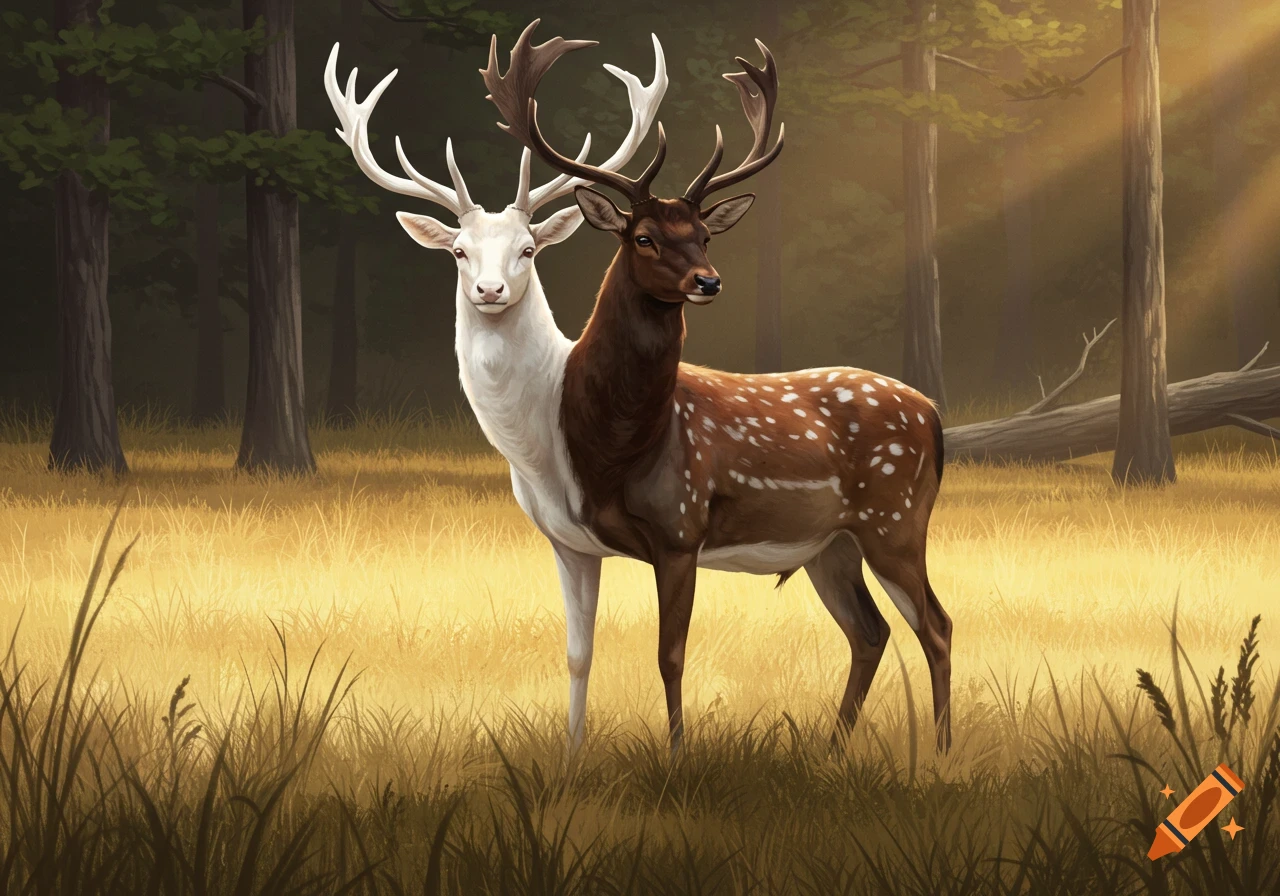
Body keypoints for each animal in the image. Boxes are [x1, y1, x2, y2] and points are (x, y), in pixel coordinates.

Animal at [323, 32, 668, 750]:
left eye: (529, 248)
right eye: (458, 250)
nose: (489, 290)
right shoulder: (567, 539)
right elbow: (578, 651)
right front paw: (572, 752)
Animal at [483, 25, 954, 752]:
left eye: (704, 234)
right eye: (644, 237)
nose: (708, 281)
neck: (618, 448)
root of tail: (933, 415)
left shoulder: (681, 525)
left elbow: (670, 654)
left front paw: (678, 757)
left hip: (896, 516)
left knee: (936, 625)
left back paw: (940, 752)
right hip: (833, 542)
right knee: (872, 630)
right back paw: (833, 749)